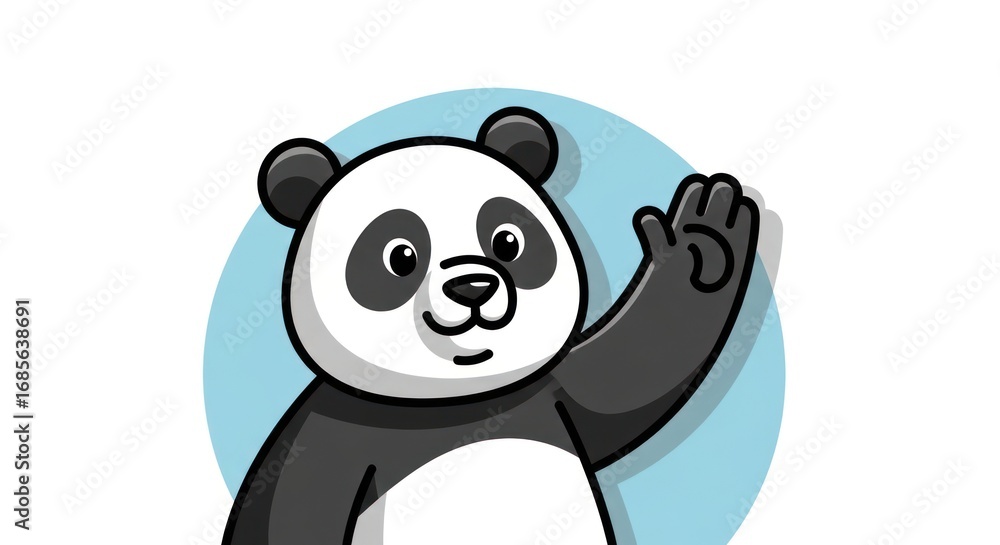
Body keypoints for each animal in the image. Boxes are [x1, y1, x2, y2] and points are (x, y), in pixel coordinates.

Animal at [223, 107, 761, 545]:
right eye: (400, 256)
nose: (473, 286)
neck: (453, 402)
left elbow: (633, 371)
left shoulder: (545, 392)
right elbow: (296, 506)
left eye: (508, 241)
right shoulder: (333, 436)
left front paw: (700, 245)